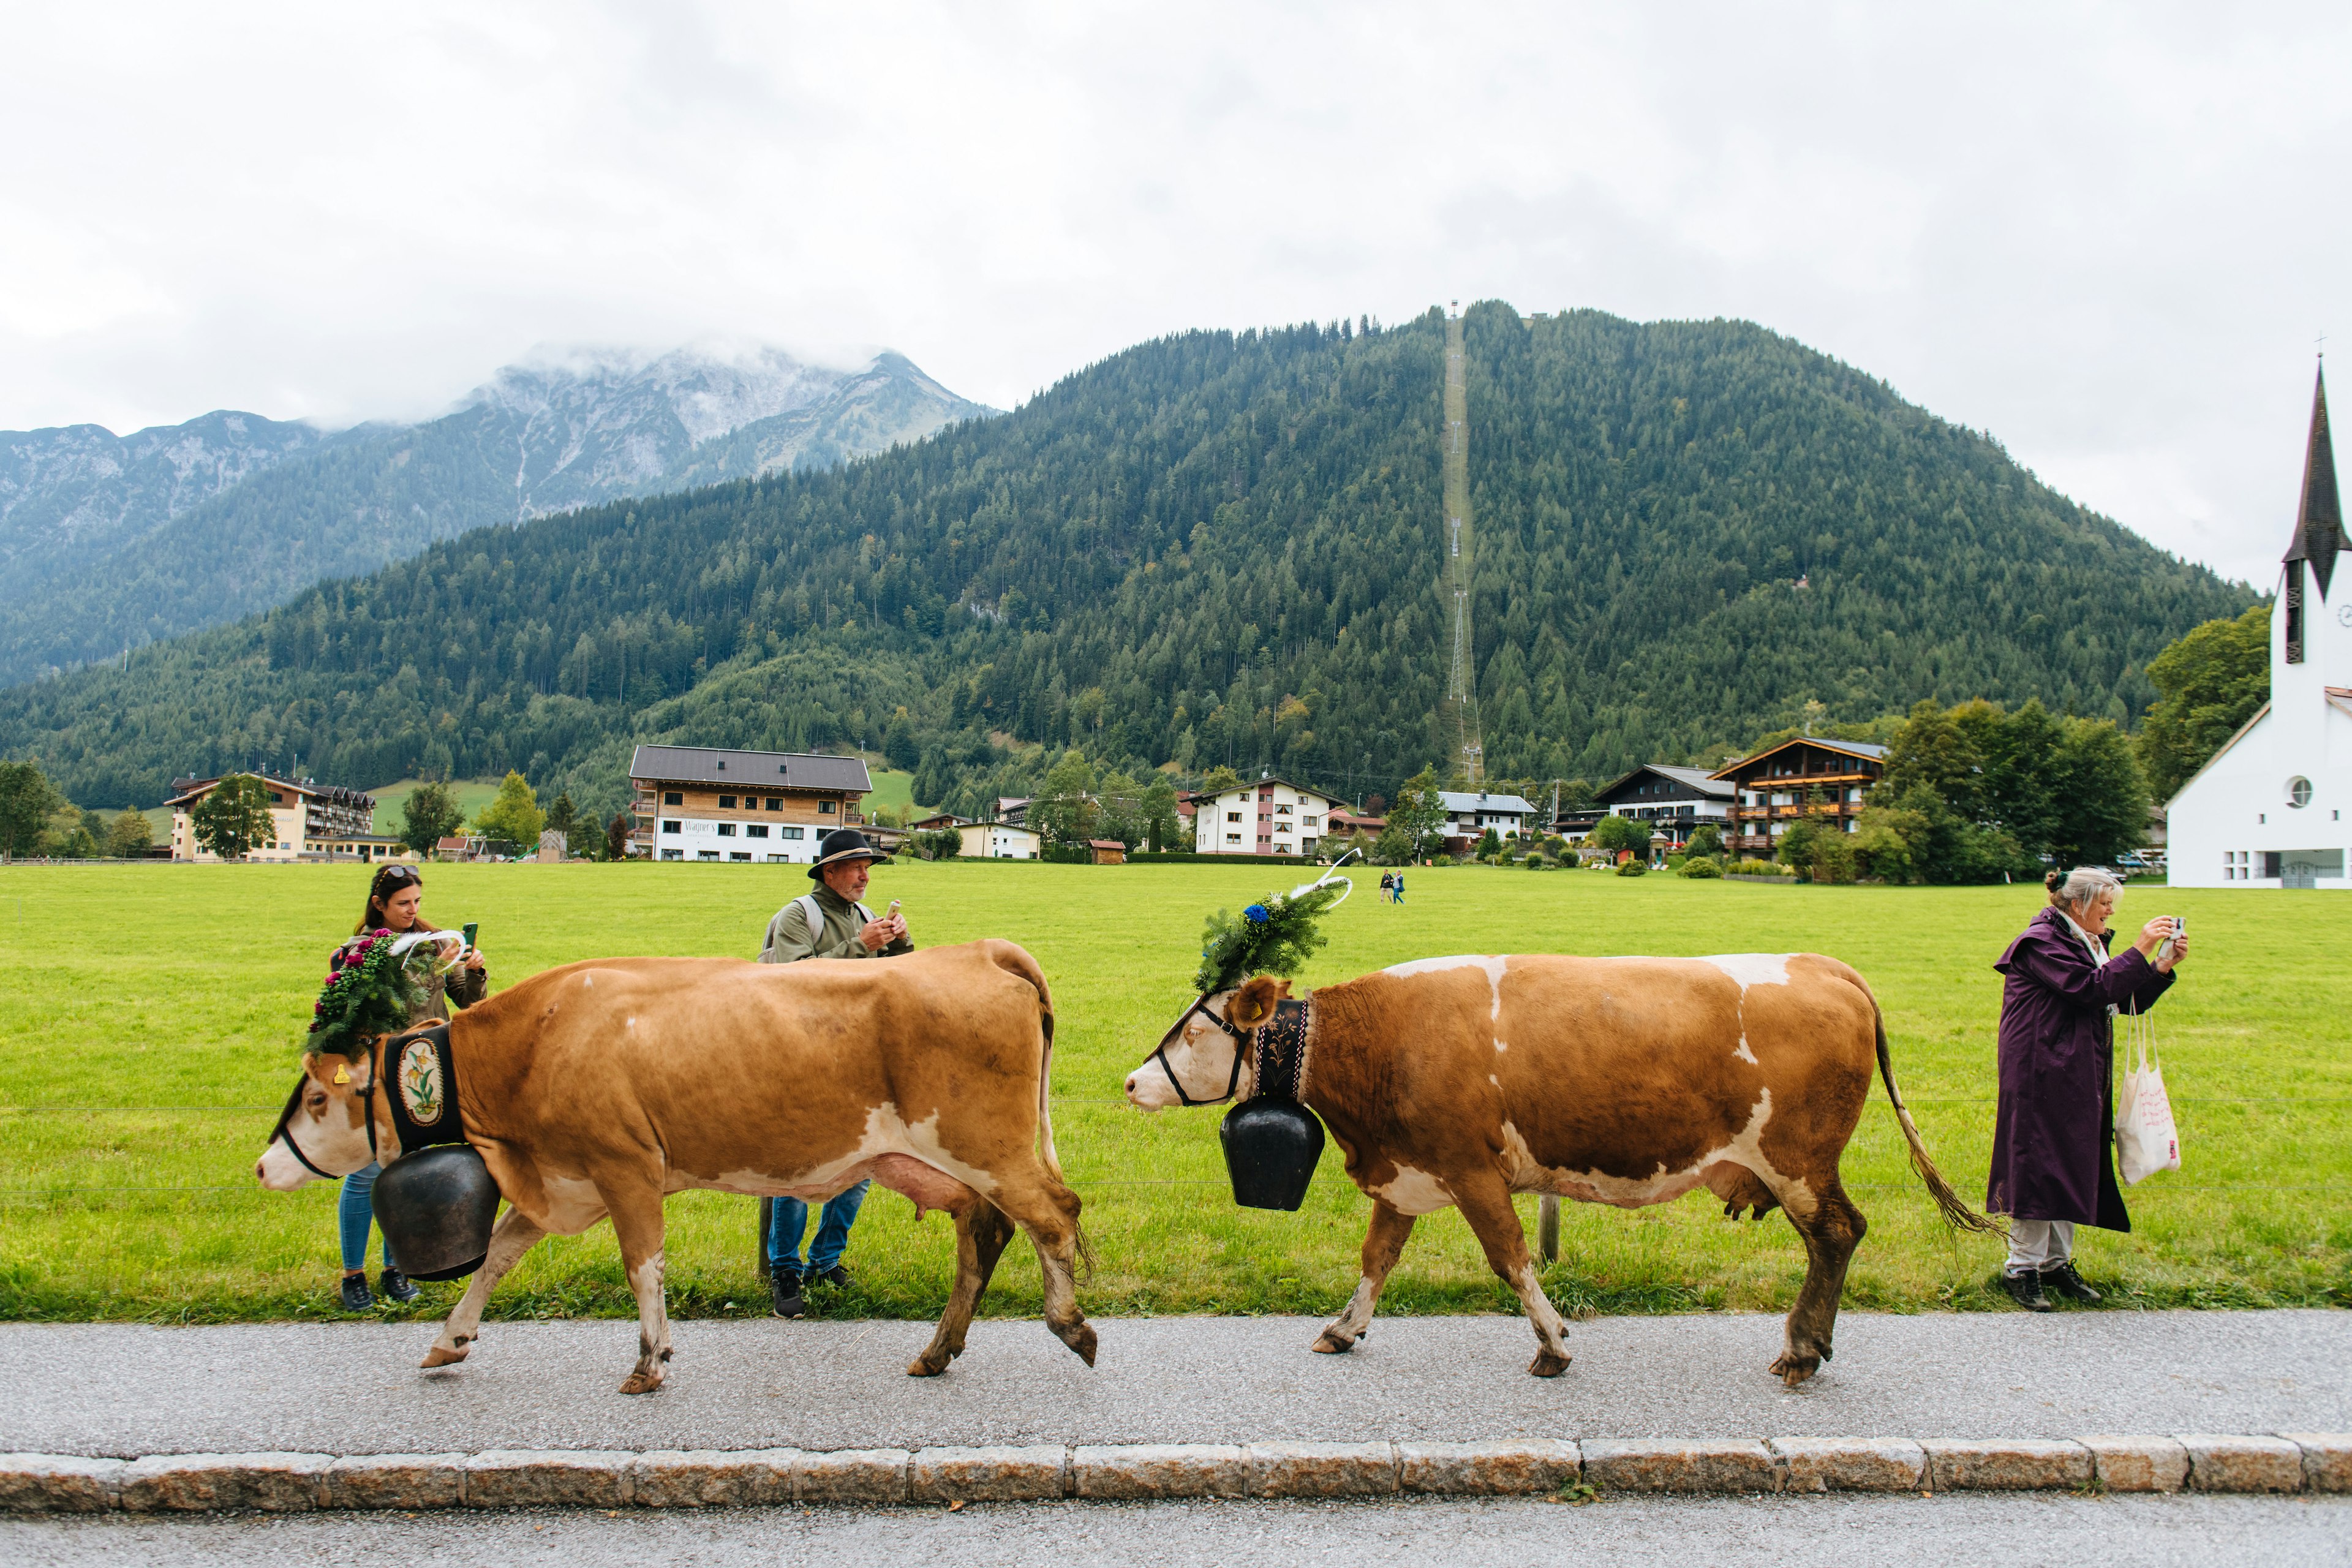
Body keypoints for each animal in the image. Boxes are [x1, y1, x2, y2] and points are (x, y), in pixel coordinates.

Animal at [260, 940, 1091, 1392]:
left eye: (315, 1095)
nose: (265, 1168)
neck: (537, 1042)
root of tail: (982, 949)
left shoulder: (623, 1164)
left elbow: (643, 1264)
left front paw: (650, 1362)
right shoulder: (563, 1180)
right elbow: (496, 1254)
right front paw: (448, 1341)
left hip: (988, 1147)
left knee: (1054, 1214)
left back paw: (1070, 1325)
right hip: (941, 1163)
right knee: (985, 1234)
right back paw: (937, 1351)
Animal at [1119, 959, 1985, 1382]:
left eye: (1193, 1030)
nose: (1130, 1081)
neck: (1379, 1041)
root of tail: (1828, 965)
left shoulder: (1471, 1169)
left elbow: (1510, 1258)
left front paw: (1554, 1344)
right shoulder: (1405, 1170)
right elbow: (1377, 1259)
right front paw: (1343, 1328)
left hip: (1799, 1158)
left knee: (1838, 1233)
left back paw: (1802, 1349)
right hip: (1790, 1165)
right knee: (1831, 1239)